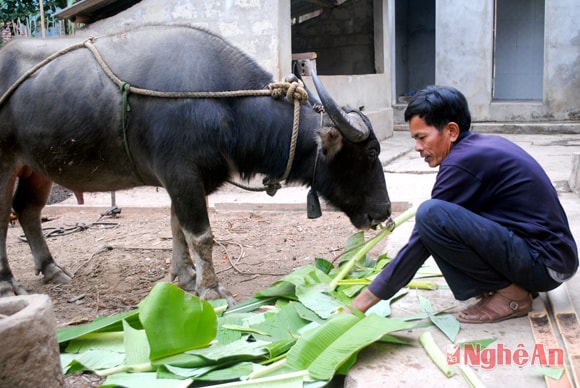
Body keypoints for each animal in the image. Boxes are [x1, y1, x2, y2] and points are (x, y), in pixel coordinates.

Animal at [0, 25, 392, 304]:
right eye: (372, 152)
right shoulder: (182, 174)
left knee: (28, 209)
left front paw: (186, 277)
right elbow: (201, 235)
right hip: (4, 162)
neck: (223, 103)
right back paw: (7, 284)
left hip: (36, 168)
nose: (384, 211)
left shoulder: (187, 180)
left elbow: (178, 228)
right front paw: (212, 290)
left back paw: (51, 269)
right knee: (6, 216)